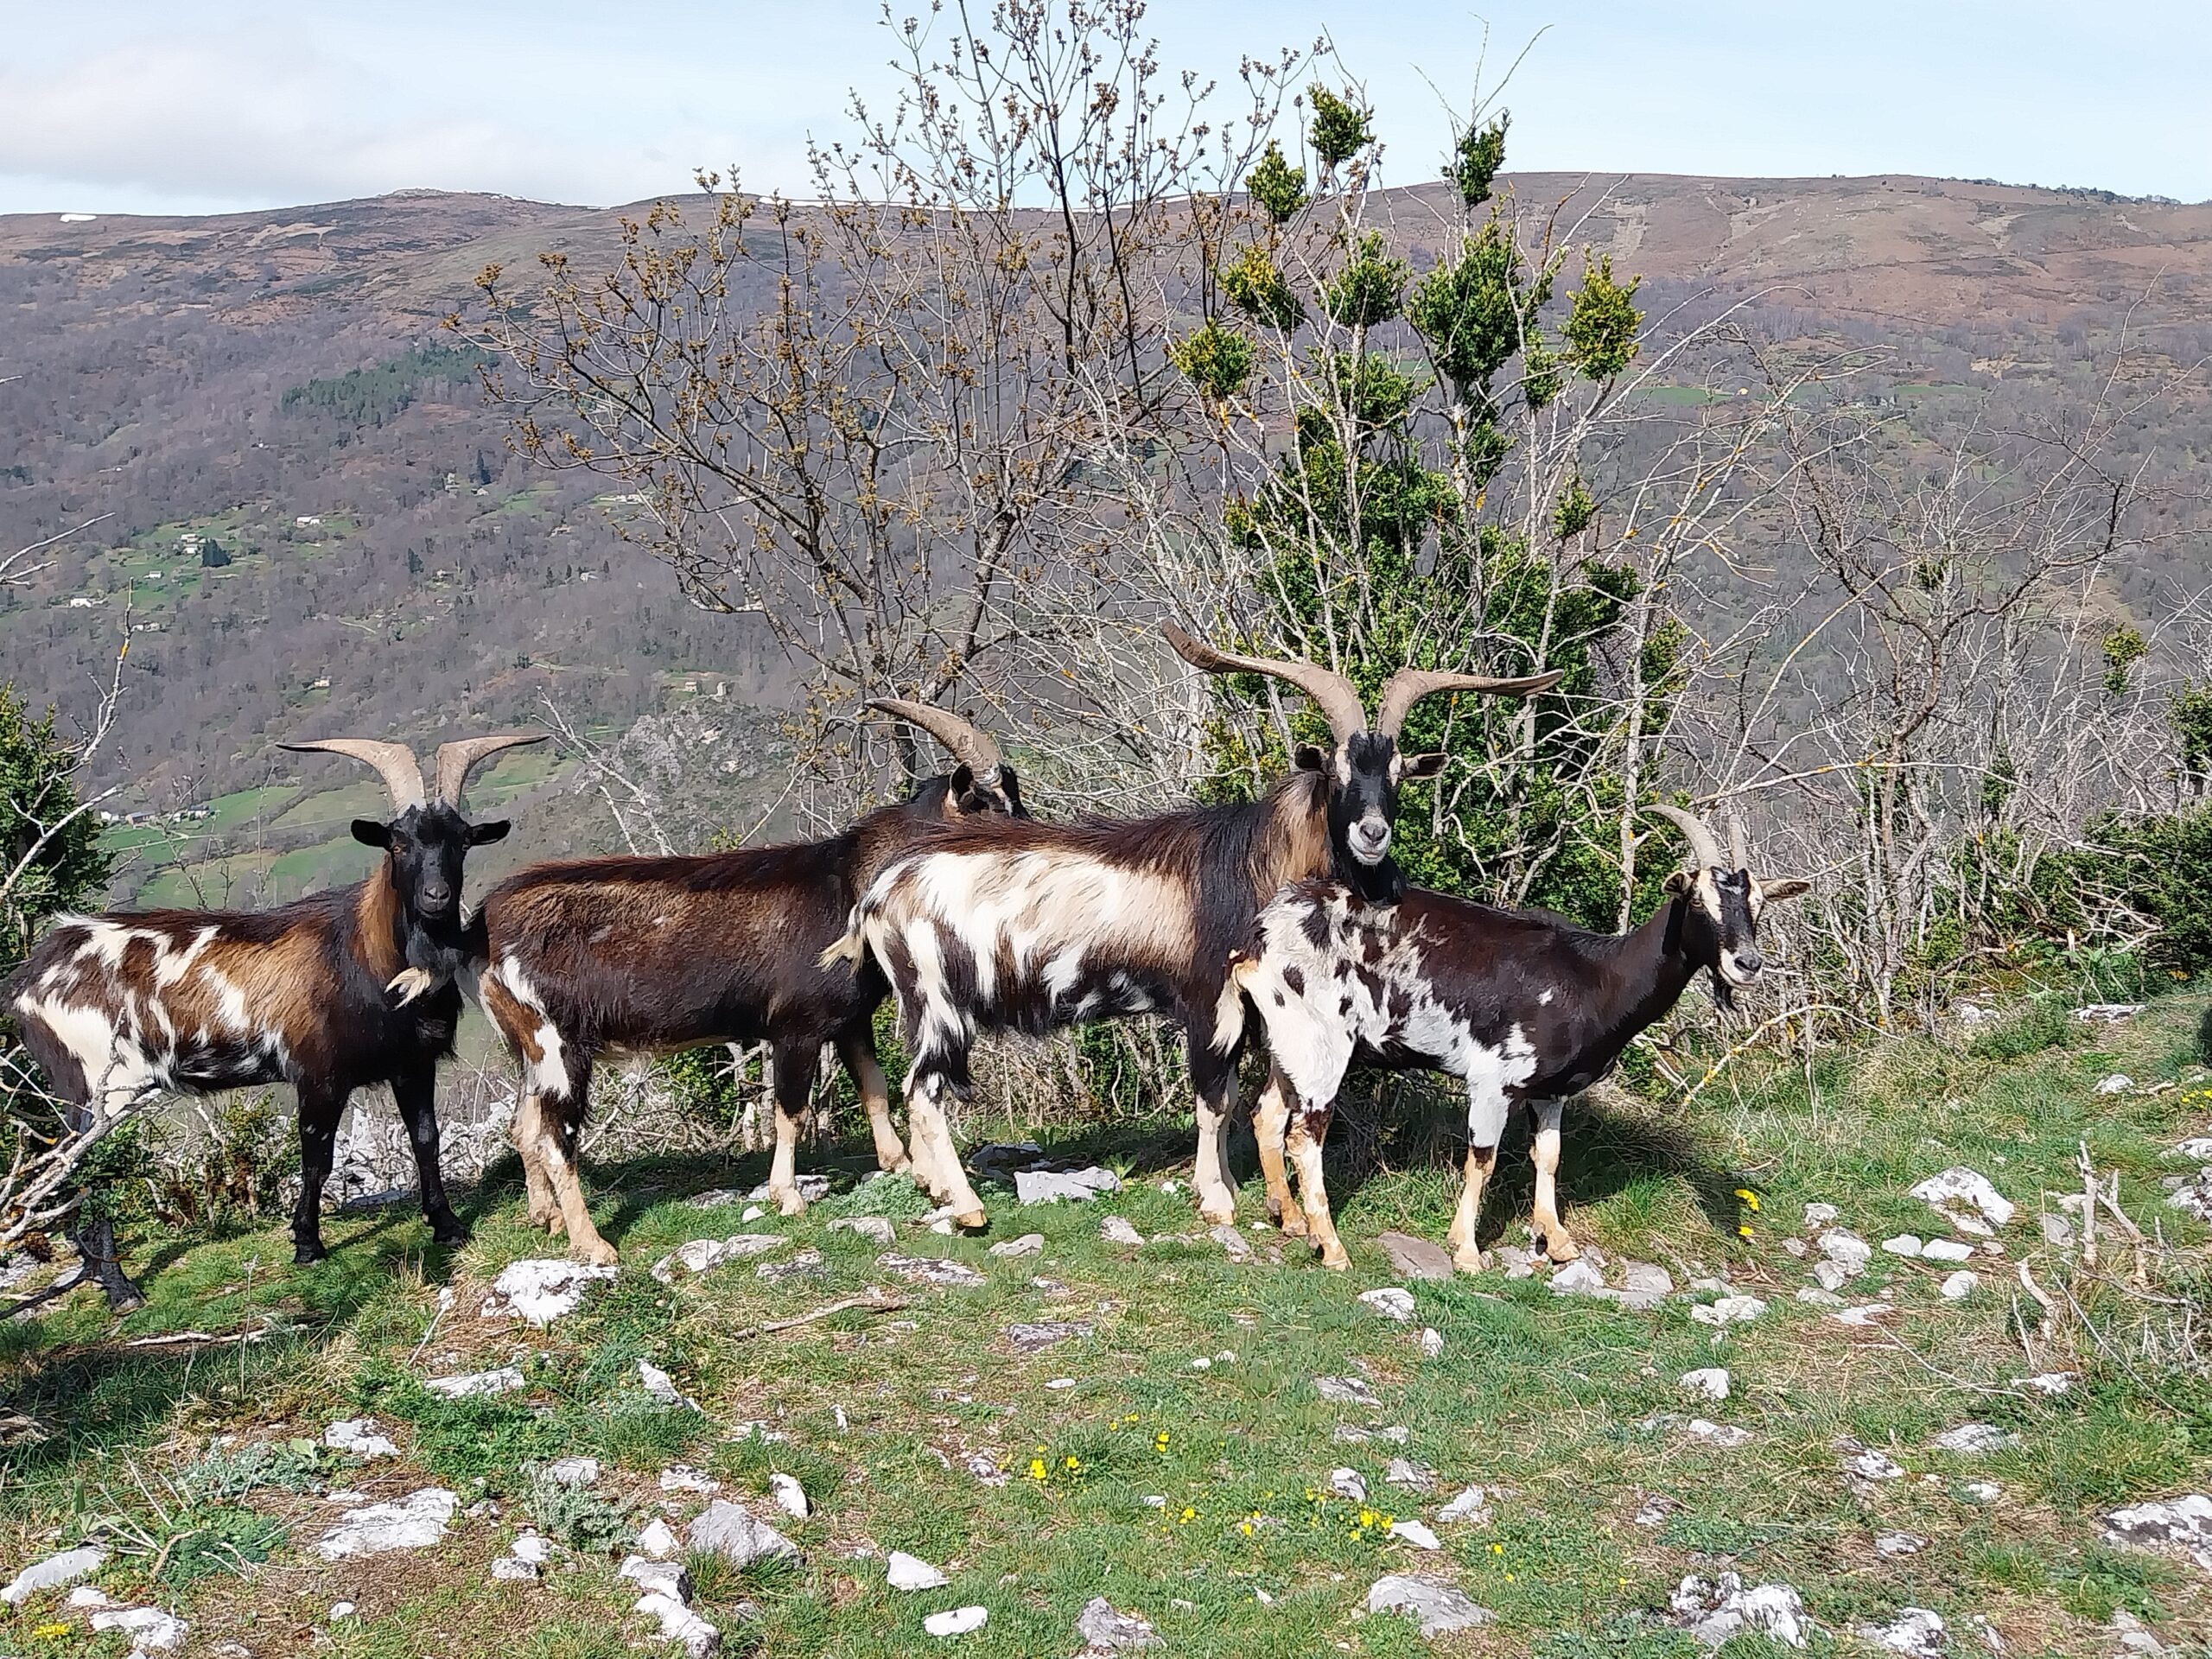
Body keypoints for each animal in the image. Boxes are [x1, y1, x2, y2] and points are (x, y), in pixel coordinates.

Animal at [6, 734, 542, 1309]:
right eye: (397, 844)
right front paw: (307, 1243)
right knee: (83, 1172)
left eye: (462, 842)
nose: (436, 897)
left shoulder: (414, 1064)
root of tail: (27, 980)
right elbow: (317, 1156)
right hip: (97, 1086)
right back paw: (119, 1286)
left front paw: (446, 1225)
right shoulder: (318, 1073)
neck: (366, 958)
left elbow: (426, 1137)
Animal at [475, 703, 1026, 1274]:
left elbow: (873, 1089)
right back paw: (592, 1244)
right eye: (992, 808)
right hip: (559, 1044)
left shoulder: (848, 1019)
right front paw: (789, 1197)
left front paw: (908, 1169)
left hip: (529, 1050)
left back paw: (546, 1218)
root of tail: (484, 929)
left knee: (523, 1126)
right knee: (555, 1138)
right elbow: (792, 1112)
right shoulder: (797, 1027)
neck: (850, 886)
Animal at [814, 628, 1557, 1238]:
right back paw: (966, 1207)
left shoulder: (1256, 1011)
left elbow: (1235, 1104)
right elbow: (1213, 1100)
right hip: (939, 1001)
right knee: (924, 1094)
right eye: (1337, 771)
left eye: (1398, 774)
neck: (1256, 863)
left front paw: (1234, 1189)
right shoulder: (1211, 999)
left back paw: (937, 1190)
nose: (1373, 834)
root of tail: (879, 893)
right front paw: (1217, 1199)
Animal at [1221, 804, 1804, 1274]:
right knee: (1305, 1135)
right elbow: (1483, 1158)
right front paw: (1465, 1250)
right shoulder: (1493, 1081)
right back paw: (1332, 1246)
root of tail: (1262, 935)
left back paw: (1290, 1219)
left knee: (1267, 1114)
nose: (1747, 964)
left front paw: (1558, 1240)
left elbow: (1548, 1156)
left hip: (1288, 1044)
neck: (1593, 976)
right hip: (1321, 1042)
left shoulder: (1550, 1090)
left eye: (1757, 906)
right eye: (1699, 901)